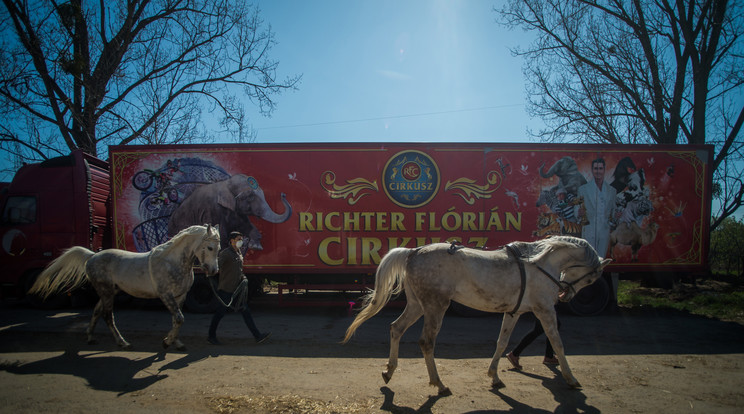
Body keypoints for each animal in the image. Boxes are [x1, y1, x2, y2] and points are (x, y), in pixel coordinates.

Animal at [29, 225, 221, 350]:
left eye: (218, 249)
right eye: (210, 247)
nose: (213, 270)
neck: (172, 262)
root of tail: (92, 256)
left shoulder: (180, 296)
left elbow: (177, 320)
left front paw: (176, 342)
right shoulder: (165, 295)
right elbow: (180, 318)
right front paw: (166, 342)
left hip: (109, 291)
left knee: (96, 311)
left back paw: (91, 338)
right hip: (106, 291)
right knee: (107, 316)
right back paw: (122, 342)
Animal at [342, 236, 612, 394]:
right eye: (591, 278)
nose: (565, 295)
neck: (540, 263)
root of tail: (414, 252)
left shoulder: (513, 312)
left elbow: (502, 342)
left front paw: (494, 376)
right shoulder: (545, 310)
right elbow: (557, 342)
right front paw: (571, 378)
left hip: (417, 305)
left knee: (396, 328)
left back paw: (389, 371)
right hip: (436, 307)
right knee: (426, 342)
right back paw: (439, 384)